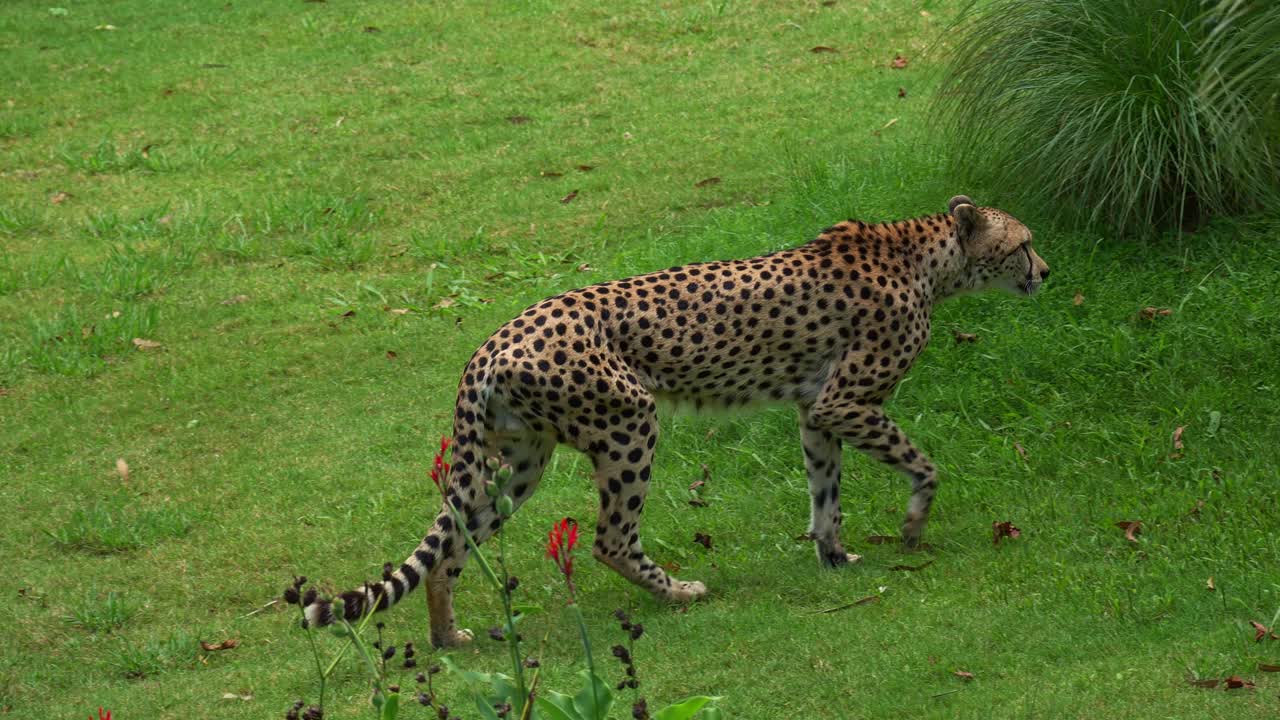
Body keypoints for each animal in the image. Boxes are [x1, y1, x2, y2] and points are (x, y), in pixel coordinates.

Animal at [302, 195, 1049, 647]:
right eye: (1025, 242)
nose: (1046, 271)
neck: (927, 258)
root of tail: (491, 343)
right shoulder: (845, 402)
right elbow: (923, 463)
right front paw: (913, 524)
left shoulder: (815, 410)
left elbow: (825, 493)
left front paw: (834, 556)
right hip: (630, 421)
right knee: (608, 539)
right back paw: (680, 592)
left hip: (522, 462)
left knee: (453, 544)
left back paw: (447, 635)